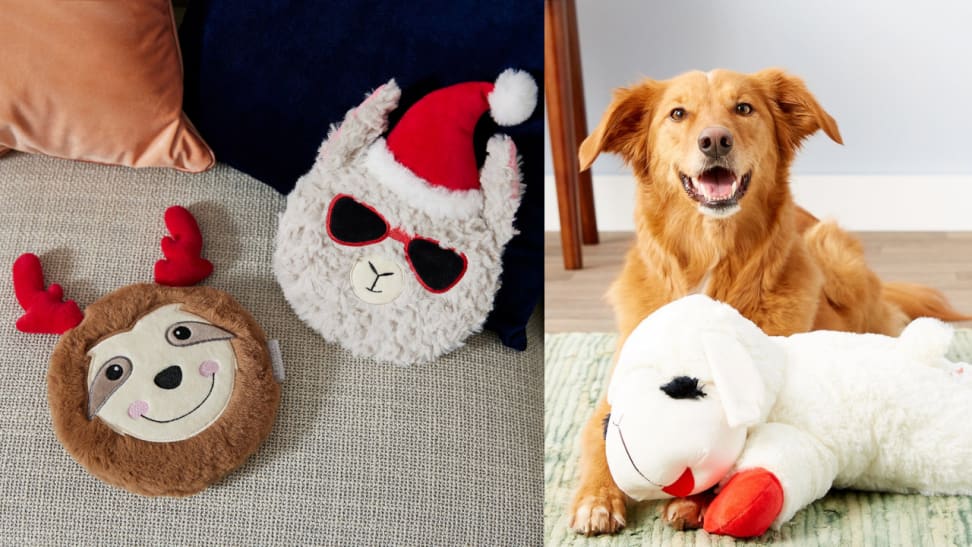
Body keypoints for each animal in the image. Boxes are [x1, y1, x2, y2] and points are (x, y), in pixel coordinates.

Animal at [564, 68, 968, 536]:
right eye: (677, 113)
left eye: (743, 108)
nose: (715, 140)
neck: (713, 255)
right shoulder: (615, 391)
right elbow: (598, 437)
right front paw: (596, 499)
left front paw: (693, 501)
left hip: (832, 249)